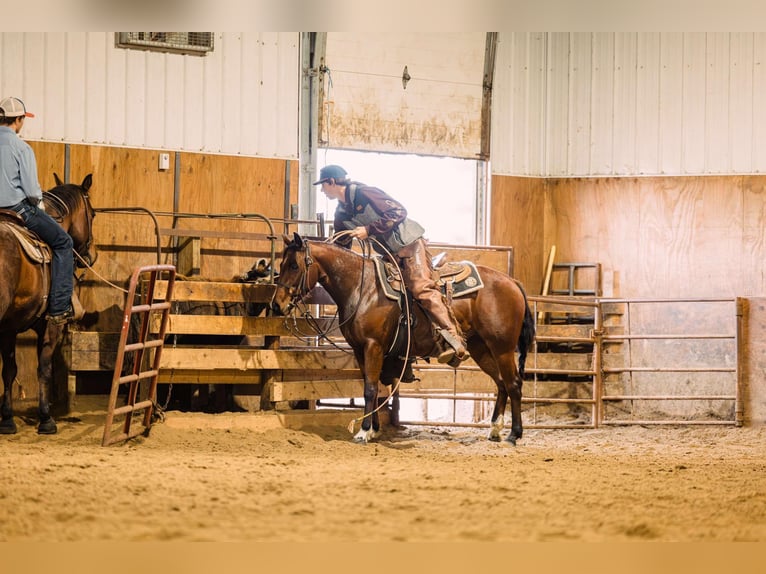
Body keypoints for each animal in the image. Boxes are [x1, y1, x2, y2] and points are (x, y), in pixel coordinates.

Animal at [0, 176, 97, 436]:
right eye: (93, 214)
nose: (90, 255)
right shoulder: (51, 326)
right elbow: (44, 368)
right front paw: (46, 419)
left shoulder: (8, 328)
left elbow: (9, 370)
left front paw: (7, 420)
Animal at [272, 234, 536, 446]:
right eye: (281, 264)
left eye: (294, 265)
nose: (276, 304)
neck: (362, 287)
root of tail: (512, 282)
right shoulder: (359, 349)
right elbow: (371, 386)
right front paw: (374, 429)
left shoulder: (373, 346)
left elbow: (370, 389)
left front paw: (363, 432)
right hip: (481, 347)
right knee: (501, 383)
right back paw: (495, 430)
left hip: (502, 348)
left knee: (513, 383)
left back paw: (514, 434)